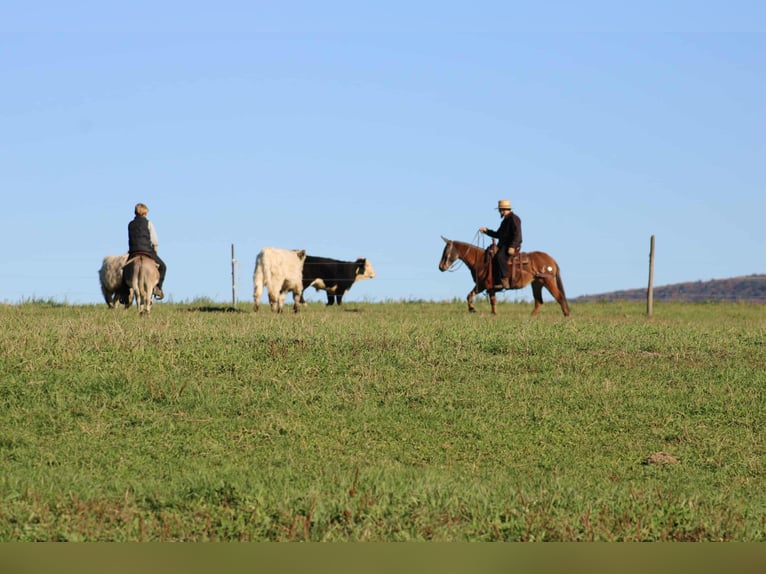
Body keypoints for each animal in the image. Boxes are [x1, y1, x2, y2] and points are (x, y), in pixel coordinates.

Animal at [438, 237, 570, 316]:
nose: (441, 267)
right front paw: (478, 311)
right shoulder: (485, 287)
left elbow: (484, 299)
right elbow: (476, 297)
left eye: (446, 251)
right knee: (539, 301)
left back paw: (566, 316)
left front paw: (474, 310)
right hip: (537, 283)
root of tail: (551, 260)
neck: (480, 261)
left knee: (559, 297)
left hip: (548, 281)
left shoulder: (483, 286)